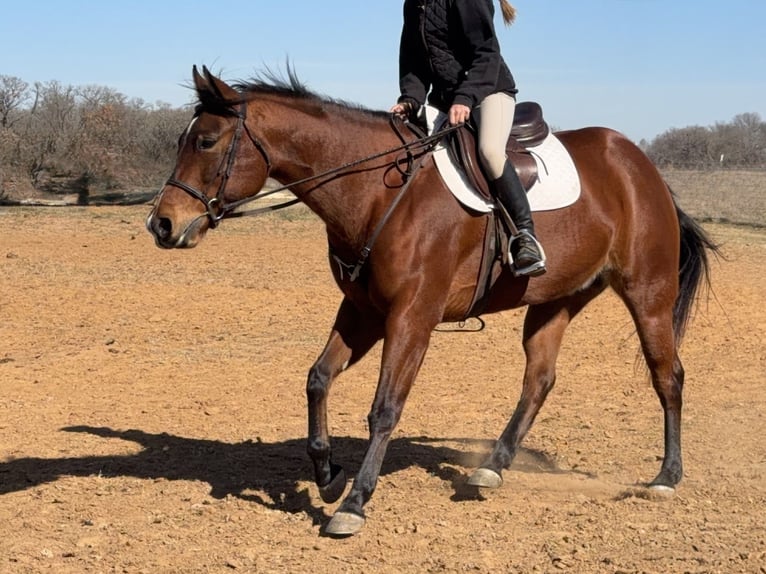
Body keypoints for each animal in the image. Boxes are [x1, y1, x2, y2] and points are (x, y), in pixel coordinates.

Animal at [146, 66, 717, 537]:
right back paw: (492, 466)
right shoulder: (363, 313)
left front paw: (353, 504)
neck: (377, 191)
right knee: (539, 380)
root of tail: (639, 164)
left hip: (648, 294)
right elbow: (318, 378)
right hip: (556, 298)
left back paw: (666, 476)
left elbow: (384, 408)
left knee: (667, 376)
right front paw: (328, 474)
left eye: (206, 140)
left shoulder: (411, 317)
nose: (161, 224)